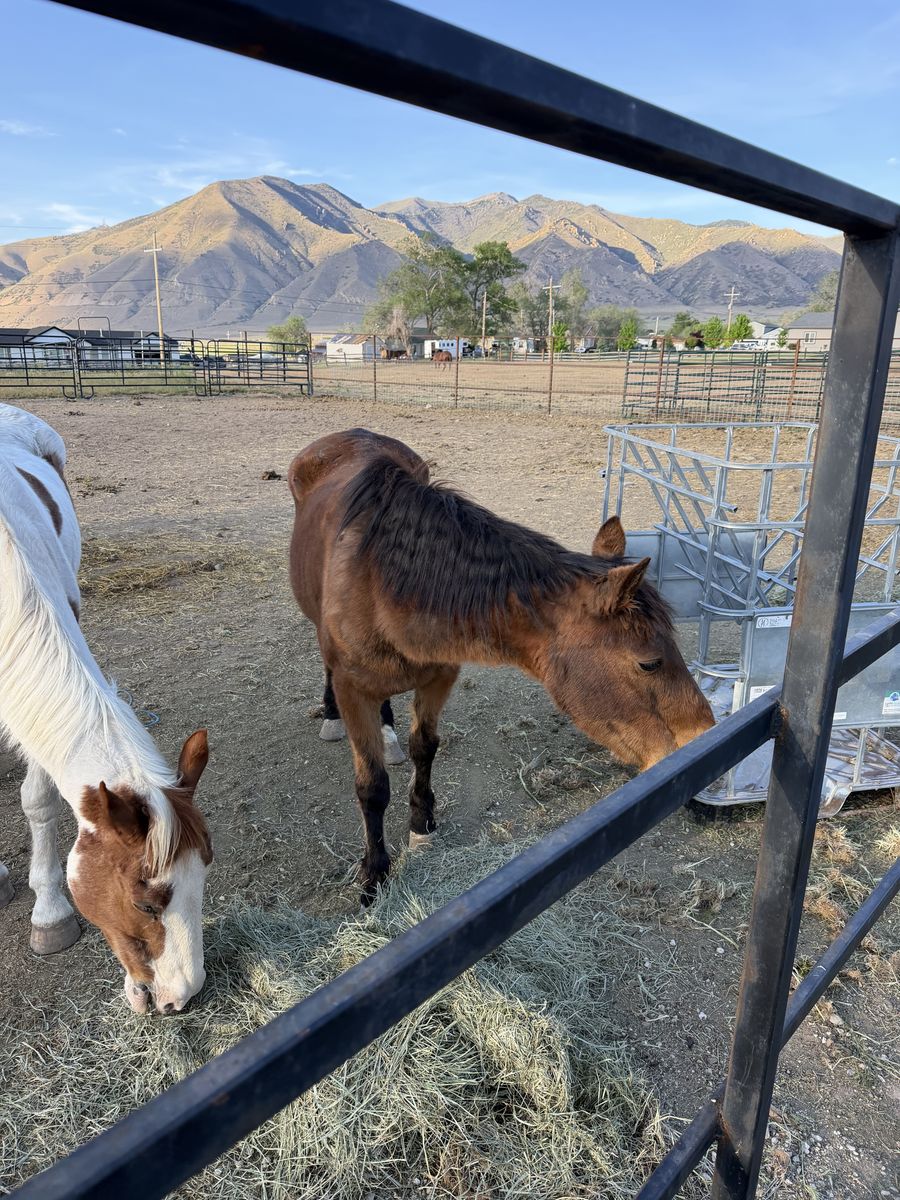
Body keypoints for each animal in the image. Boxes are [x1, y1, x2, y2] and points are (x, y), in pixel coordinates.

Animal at [288, 428, 714, 900]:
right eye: (649, 663)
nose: (704, 735)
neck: (384, 585)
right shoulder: (353, 689)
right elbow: (372, 786)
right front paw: (374, 873)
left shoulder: (439, 676)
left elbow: (425, 747)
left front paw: (421, 823)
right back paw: (332, 716)